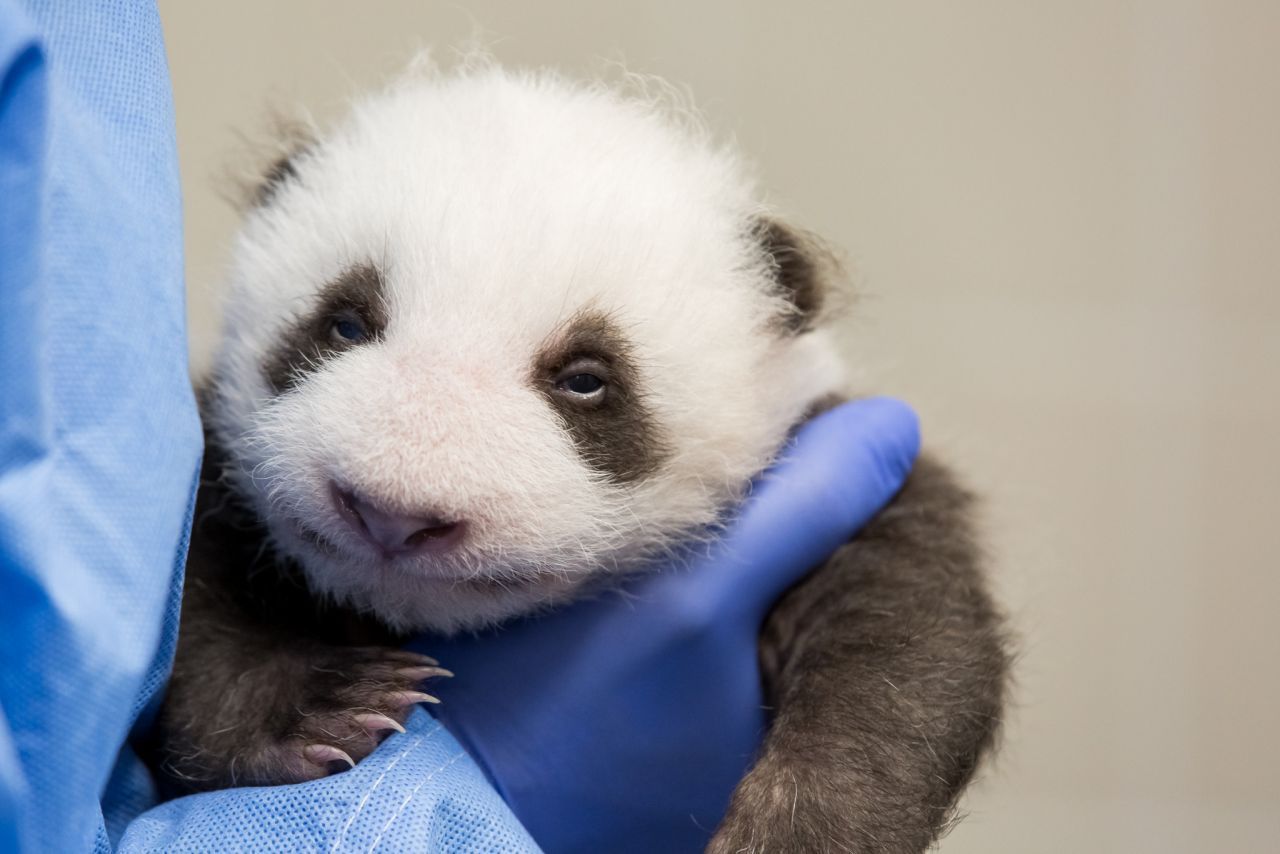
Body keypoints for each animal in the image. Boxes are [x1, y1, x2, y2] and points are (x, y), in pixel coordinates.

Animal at [154, 63, 1008, 850]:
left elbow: (903, 640)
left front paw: (800, 827)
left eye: (586, 379)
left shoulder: (838, 468)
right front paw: (323, 704)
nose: (392, 515)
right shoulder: (220, 463)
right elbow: (186, 595)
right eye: (346, 323)